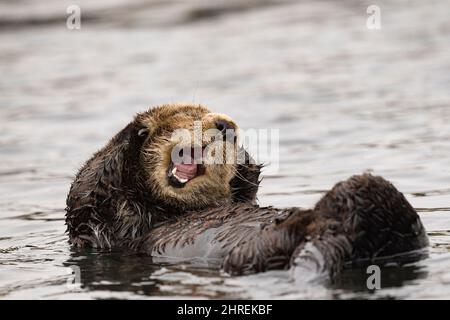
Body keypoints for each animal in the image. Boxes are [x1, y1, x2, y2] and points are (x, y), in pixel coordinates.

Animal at [66, 103, 428, 280]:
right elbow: (87, 192)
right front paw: (139, 130)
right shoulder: (102, 226)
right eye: (189, 118)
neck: (167, 210)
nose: (225, 124)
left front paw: (243, 159)